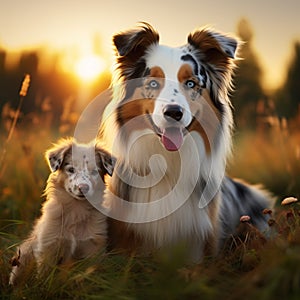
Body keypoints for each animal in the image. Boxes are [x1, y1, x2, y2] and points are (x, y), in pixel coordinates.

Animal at [9, 137, 115, 284]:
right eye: (71, 169)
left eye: (94, 172)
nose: (83, 188)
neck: (77, 208)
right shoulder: (49, 246)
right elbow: (45, 274)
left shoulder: (93, 247)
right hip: (23, 256)